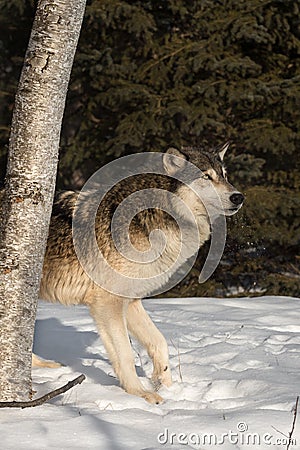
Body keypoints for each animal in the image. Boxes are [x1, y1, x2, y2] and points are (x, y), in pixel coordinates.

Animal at [35, 145, 244, 404]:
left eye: (224, 176)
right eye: (206, 176)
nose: (238, 197)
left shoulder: (131, 301)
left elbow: (159, 342)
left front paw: (166, 386)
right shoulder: (107, 303)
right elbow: (125, 354)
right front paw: (140, 394)